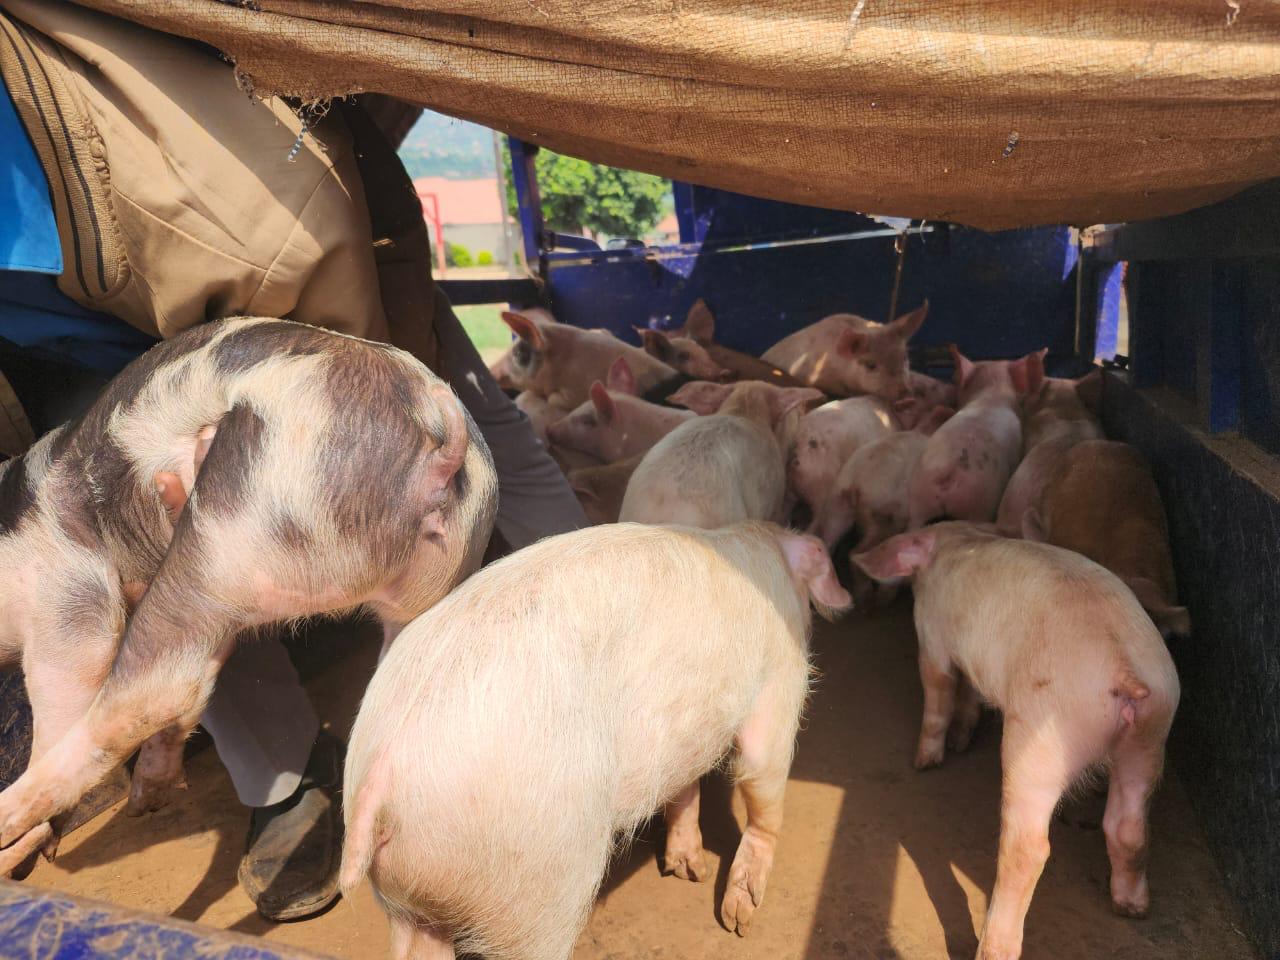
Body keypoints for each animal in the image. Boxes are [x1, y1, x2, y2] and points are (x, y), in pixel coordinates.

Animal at [0, 318, 498, 874]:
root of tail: (440, 443)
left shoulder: (64, 588)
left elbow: (70, 681)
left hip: (234, 523)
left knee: (151, 691)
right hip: (423, 583)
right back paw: (142, 801)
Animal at [340, 520, 851, 960]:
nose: (693, 872)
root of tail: (376, 780)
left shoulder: (680, 735)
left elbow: (683, 785)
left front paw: (688, 870)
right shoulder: (780, 676)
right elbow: (763, 777)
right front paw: (738, 921)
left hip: (410, 901)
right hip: (536, 880)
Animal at [853, 523, 1179, 960]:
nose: (921, 762)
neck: (958, 539)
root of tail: (1124, 670)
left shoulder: (932, 633)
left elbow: (939, 688)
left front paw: (924, 761)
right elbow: (970, 695)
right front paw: (960, 742)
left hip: (1042, 741)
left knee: (1027, 847)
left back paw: (992, 948)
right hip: (1151, 734)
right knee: (1128, 824)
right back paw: (1132, 908)